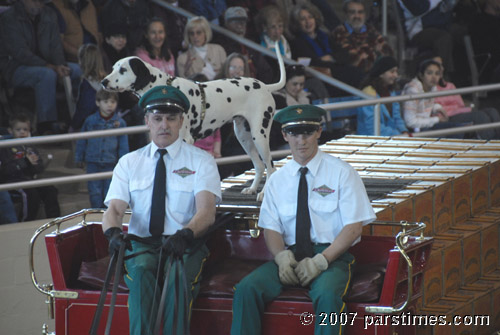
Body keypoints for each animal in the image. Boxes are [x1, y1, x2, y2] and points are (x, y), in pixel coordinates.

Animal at [101, 46, 286, 201]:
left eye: (123, 69)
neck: (164, 89)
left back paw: (263, 193)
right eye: (113, 68)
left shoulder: (184, 140)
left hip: (259, 136)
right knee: (260, 166)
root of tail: (264, 86)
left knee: (271, 168)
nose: (104, 82)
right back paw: (252, 189)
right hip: (244, 137)